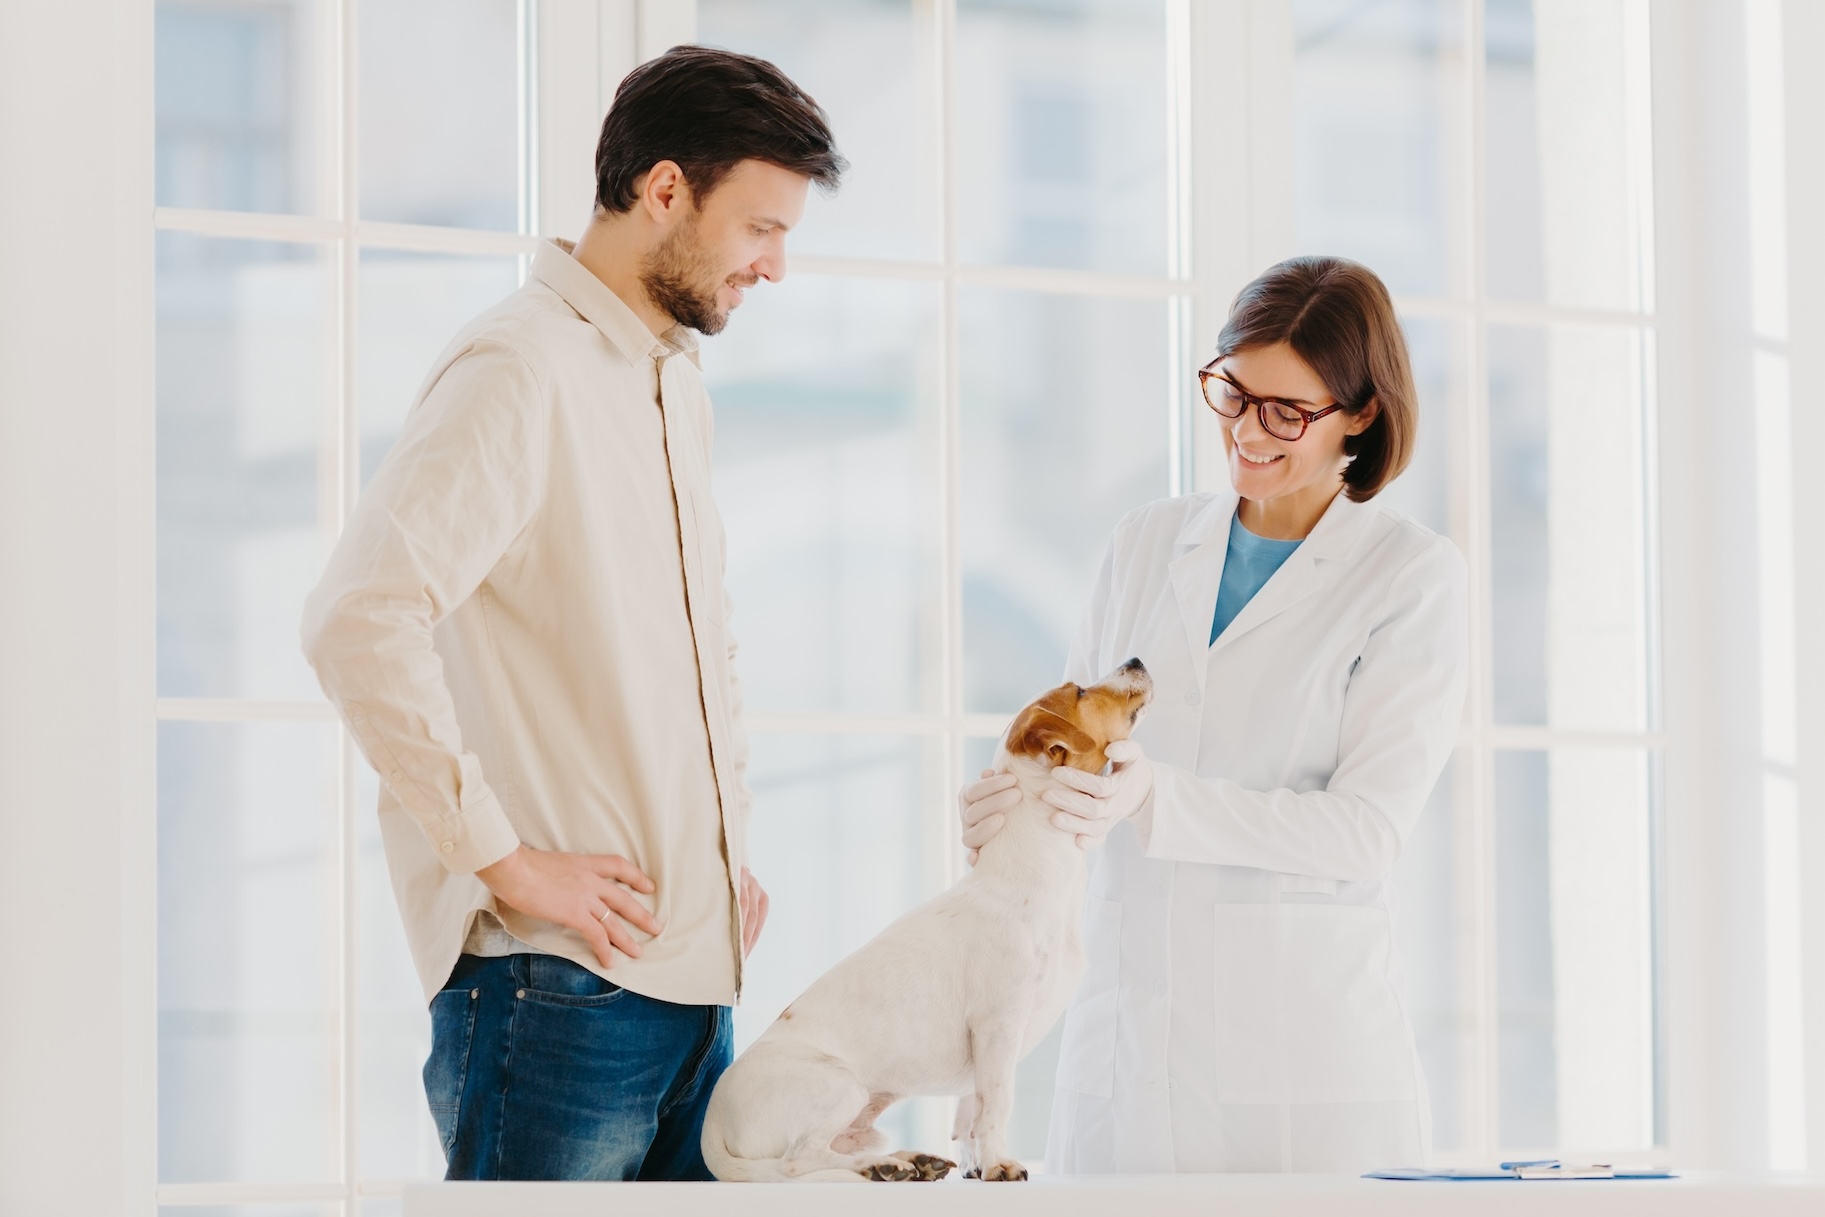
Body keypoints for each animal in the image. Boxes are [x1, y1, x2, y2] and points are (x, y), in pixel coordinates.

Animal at [700, 660, 1153, 1182]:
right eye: (1079, 690)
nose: (1136, 661)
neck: (1030, 873)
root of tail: (712, 1125)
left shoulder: (985, 1049)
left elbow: (972, 1110)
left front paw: (977, 1163)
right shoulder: (997, 1027)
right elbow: (996, 1104)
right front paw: (999, 1164)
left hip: (864, 1117)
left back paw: (909, 1160)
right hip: (841, 1088)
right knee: (801, 1161)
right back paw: (880, 1167)